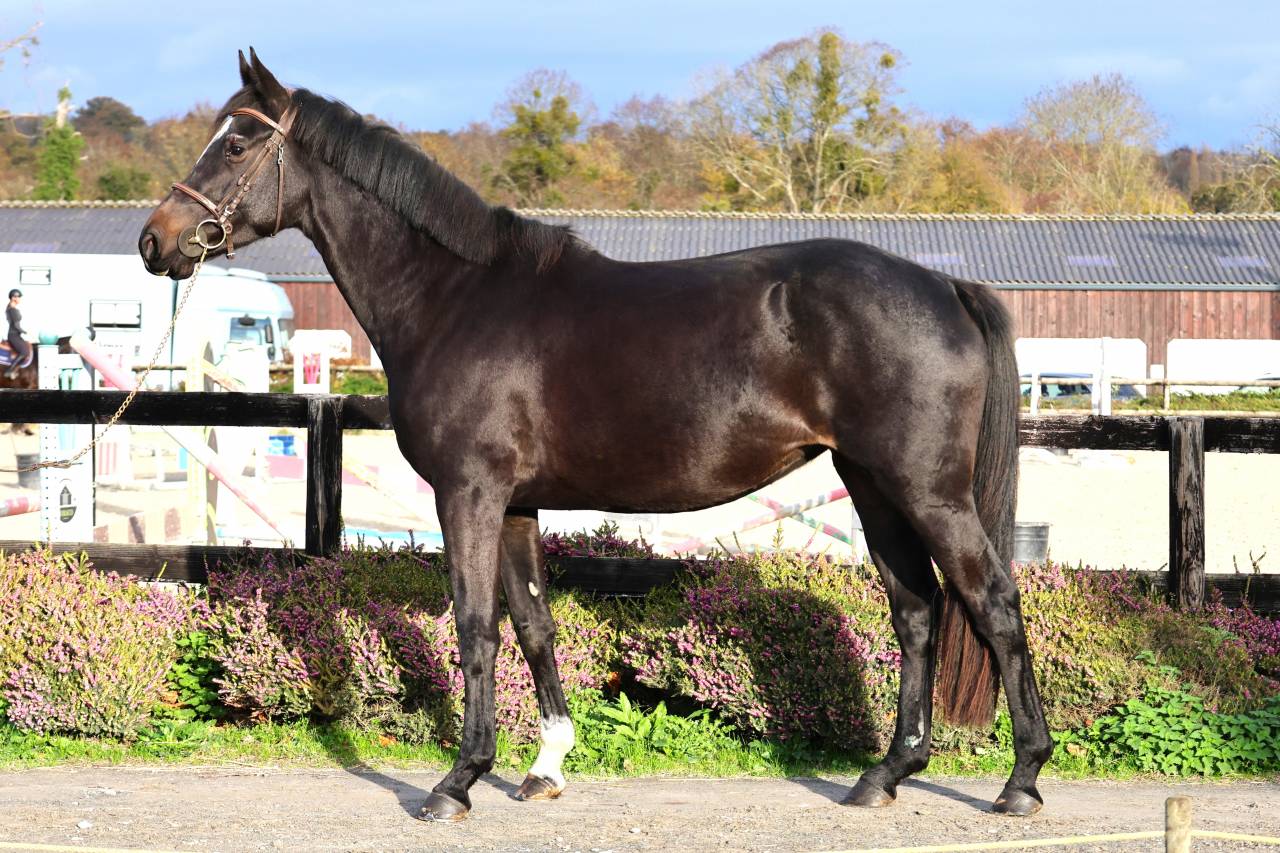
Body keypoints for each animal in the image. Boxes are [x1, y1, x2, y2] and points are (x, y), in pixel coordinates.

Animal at [139, 49, 1052, 823]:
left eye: (237, 142)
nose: (156, 241)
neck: (454, 296)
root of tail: (943, 284)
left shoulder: (468, 493)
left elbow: (476, 626)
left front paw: (457, 781)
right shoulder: (514, 504)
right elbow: (534, 622)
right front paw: (545, 765)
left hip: (926, 487)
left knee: (993, 601)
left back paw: (1021, 779)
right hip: (873, 484)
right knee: (918, 610)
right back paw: (886, 773)